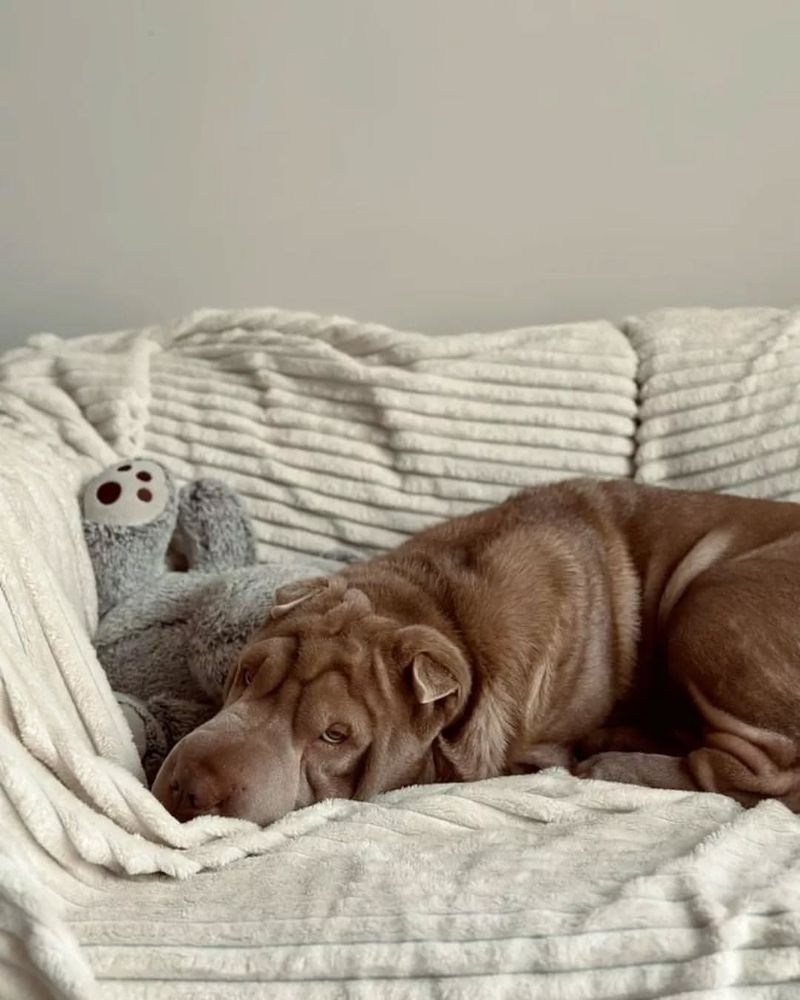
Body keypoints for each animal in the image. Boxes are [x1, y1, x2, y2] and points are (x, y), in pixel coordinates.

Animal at [152, 480, 800, 824]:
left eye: (335, 736)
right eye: (245, 674)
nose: (191, 785)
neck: (435, 609)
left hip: (713, 606)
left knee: (751, 771)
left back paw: (612, 763)